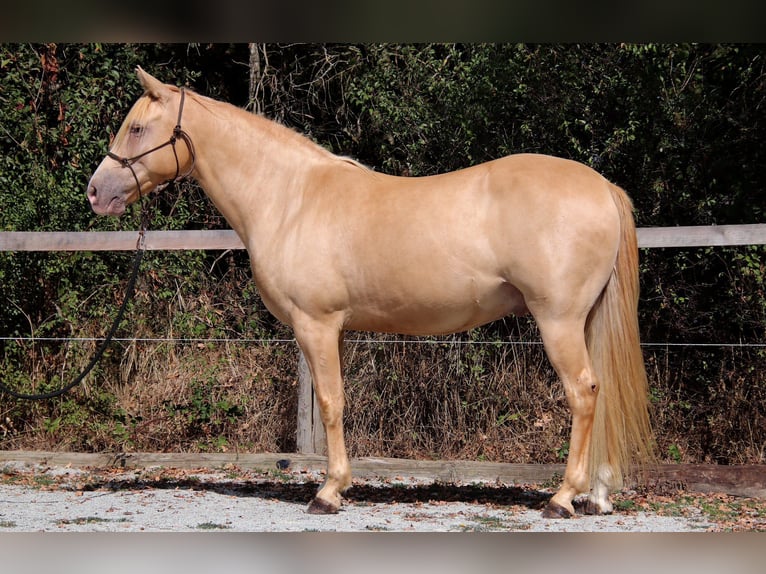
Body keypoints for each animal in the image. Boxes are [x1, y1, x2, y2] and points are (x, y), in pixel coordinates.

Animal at [87, 67, 654, 518]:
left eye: (137, 127)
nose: (96, 192)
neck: (289, 198)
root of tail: (602, 186)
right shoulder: (328, 328)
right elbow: (336, 401)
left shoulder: (316, 324)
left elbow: (331, 402)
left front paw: (329, 491)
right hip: (583, 320)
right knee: (599, 393)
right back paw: (598, 495)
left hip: (558, 320)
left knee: (583, 392)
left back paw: (562, 498)